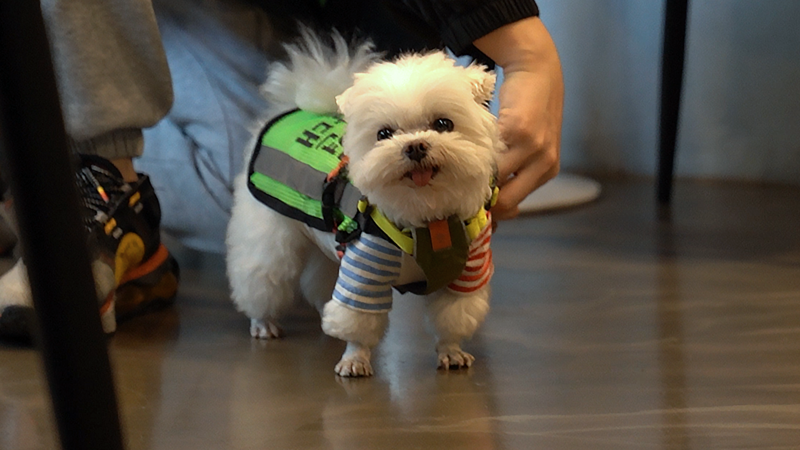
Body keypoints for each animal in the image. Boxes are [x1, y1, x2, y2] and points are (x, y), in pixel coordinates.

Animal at [227, 31, 500, 376]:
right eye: (384, 134)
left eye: (443, 124)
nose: (415, 146)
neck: (428, 217)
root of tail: (294, 108)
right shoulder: (366, 270)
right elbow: (358, 320)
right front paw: (355, 359)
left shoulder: (466, 275)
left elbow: (452, 320)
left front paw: (451, 351)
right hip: (269, 240)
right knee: (260, 276)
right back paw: (263, 322)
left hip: (329, 249)